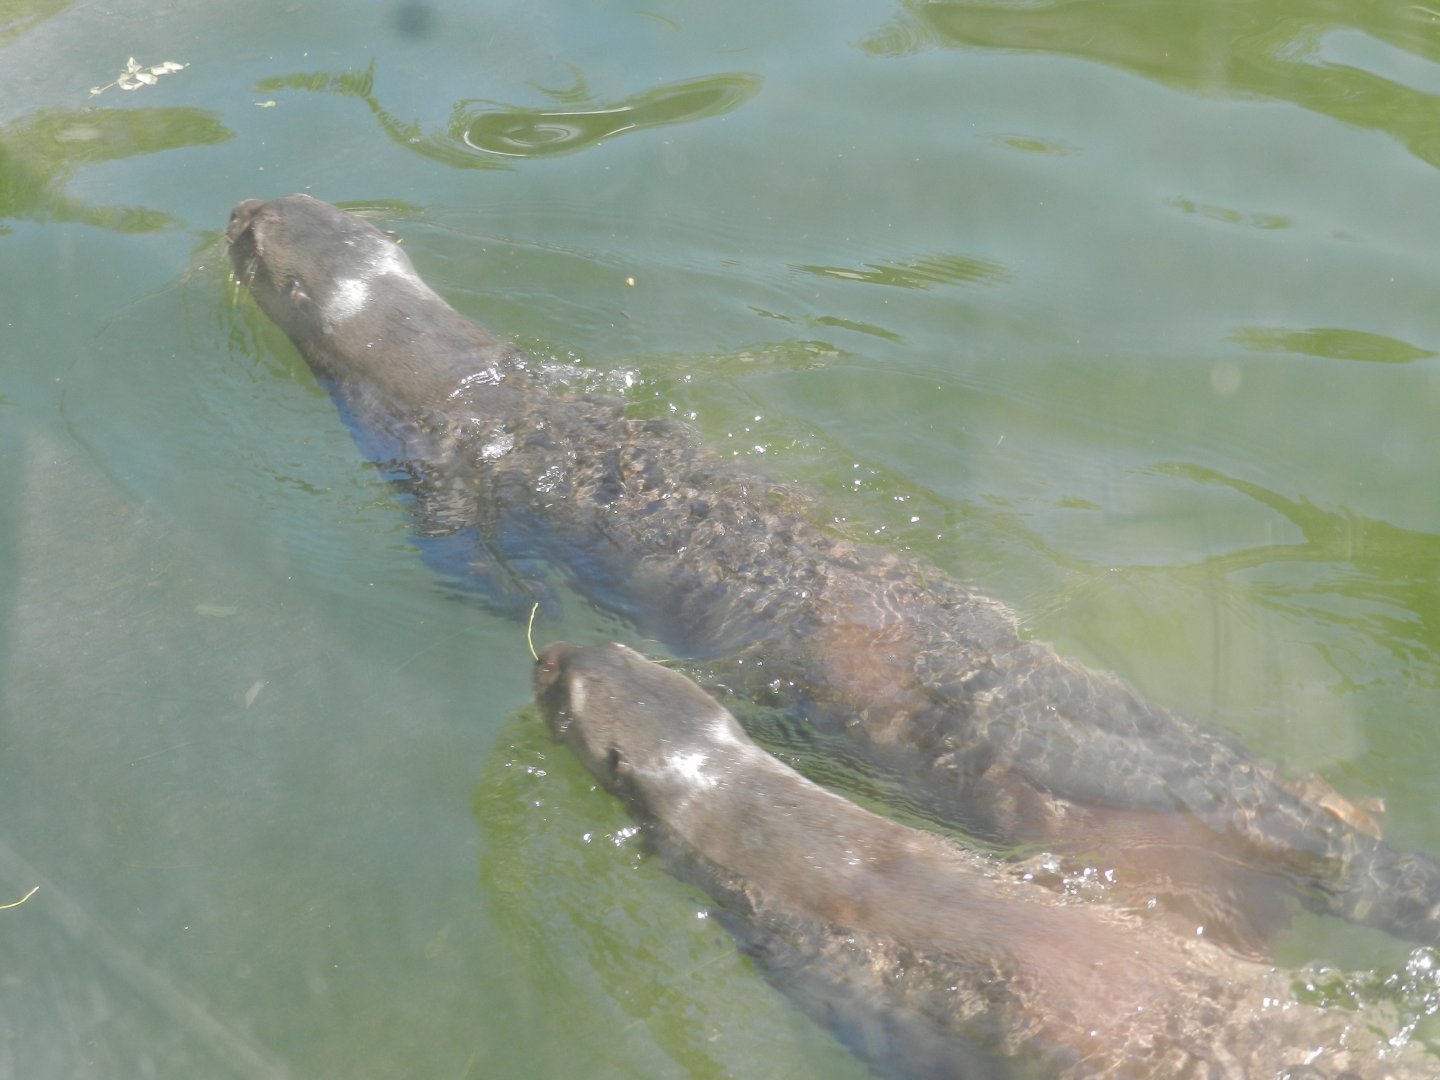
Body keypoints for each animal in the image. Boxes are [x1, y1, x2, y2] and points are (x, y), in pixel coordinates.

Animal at [227, 194, 1440, 950]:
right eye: (307, 212)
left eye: (258, 242)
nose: (241, 206)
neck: (462, 376)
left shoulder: (427, 459)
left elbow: (462, 552)